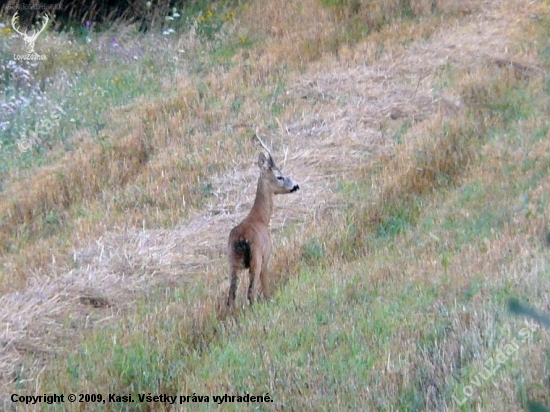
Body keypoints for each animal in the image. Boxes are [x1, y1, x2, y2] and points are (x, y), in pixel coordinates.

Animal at [226, 135, 300, 306]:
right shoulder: (266, 257)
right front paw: (271, 301)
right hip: (256, 258)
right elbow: (265, 287)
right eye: (279, 176)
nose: (296, 185)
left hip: (233, 261)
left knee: (231, 294)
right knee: (250, 292)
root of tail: (241, 239)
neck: (261, 219)